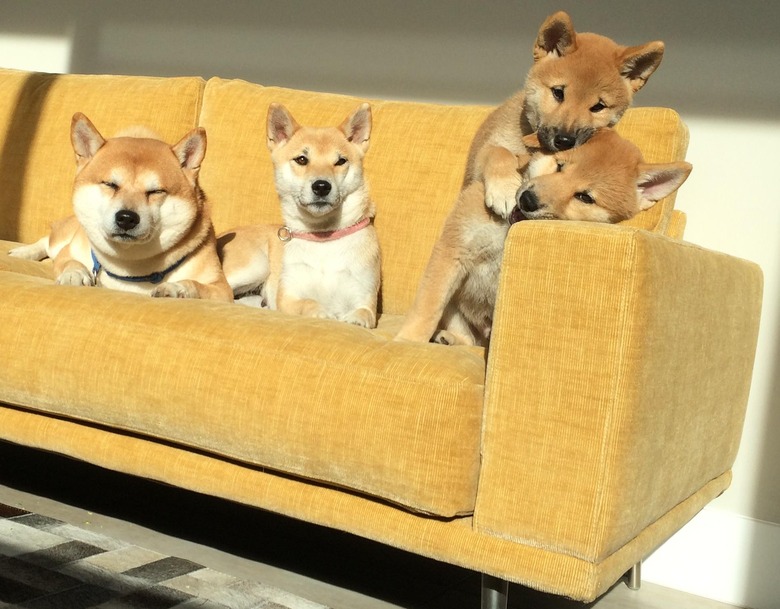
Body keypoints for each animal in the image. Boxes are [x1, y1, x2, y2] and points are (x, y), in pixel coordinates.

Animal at [9, 112, 232, 302]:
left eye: (155, 191)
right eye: (110, 184)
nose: (126, 218)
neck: (129, 270)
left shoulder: (221, 289)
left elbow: (195, 285)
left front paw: (175, 288)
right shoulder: (69, 252)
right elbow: (70, 262)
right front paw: (74, 274)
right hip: (66, 237)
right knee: (47, 241)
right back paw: (21, 252)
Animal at [218, 102, 380, 328]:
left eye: (341, 161)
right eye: (302, 159)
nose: (321, 186)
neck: (323, 239)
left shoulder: (365, 296)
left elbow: (364, 312)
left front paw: (354, 321)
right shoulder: (289, 296)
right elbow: (308, 303)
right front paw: (323, 313)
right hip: (256, 265)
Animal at [400, 129, 692, 346]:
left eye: (585, 197)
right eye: (560, 166)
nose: (528, 200)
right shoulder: (454, 249)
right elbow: (428, 308)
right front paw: (408, 342)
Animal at [466, 10, 668, 218]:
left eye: (598, 106)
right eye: (558, 92)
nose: (564, 141)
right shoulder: (483, 156)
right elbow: (498, 151)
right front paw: (504, 188)